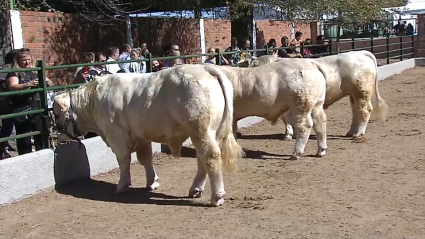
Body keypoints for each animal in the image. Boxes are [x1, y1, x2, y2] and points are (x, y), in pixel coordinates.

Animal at [52, 64, 243, 206]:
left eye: (56, 113)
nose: (56, 135)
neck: (94, 99)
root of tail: (205, 68)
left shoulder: (117, 137)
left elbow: (124, 162)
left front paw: (122, 185)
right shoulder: (142, 136)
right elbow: (145, 159)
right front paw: (152, 182)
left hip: (201, 130)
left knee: (211, 156)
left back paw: (217, 196)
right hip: (210, 132)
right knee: (202, 159)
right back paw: (196, 189)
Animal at [245, 50, 388, 140]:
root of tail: (361, 53)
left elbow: (287, 119)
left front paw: (289, 134)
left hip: (361, 92)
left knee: (365, 110)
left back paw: (358, 134)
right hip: (353, 95)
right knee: (356, 111)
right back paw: (351, 132)